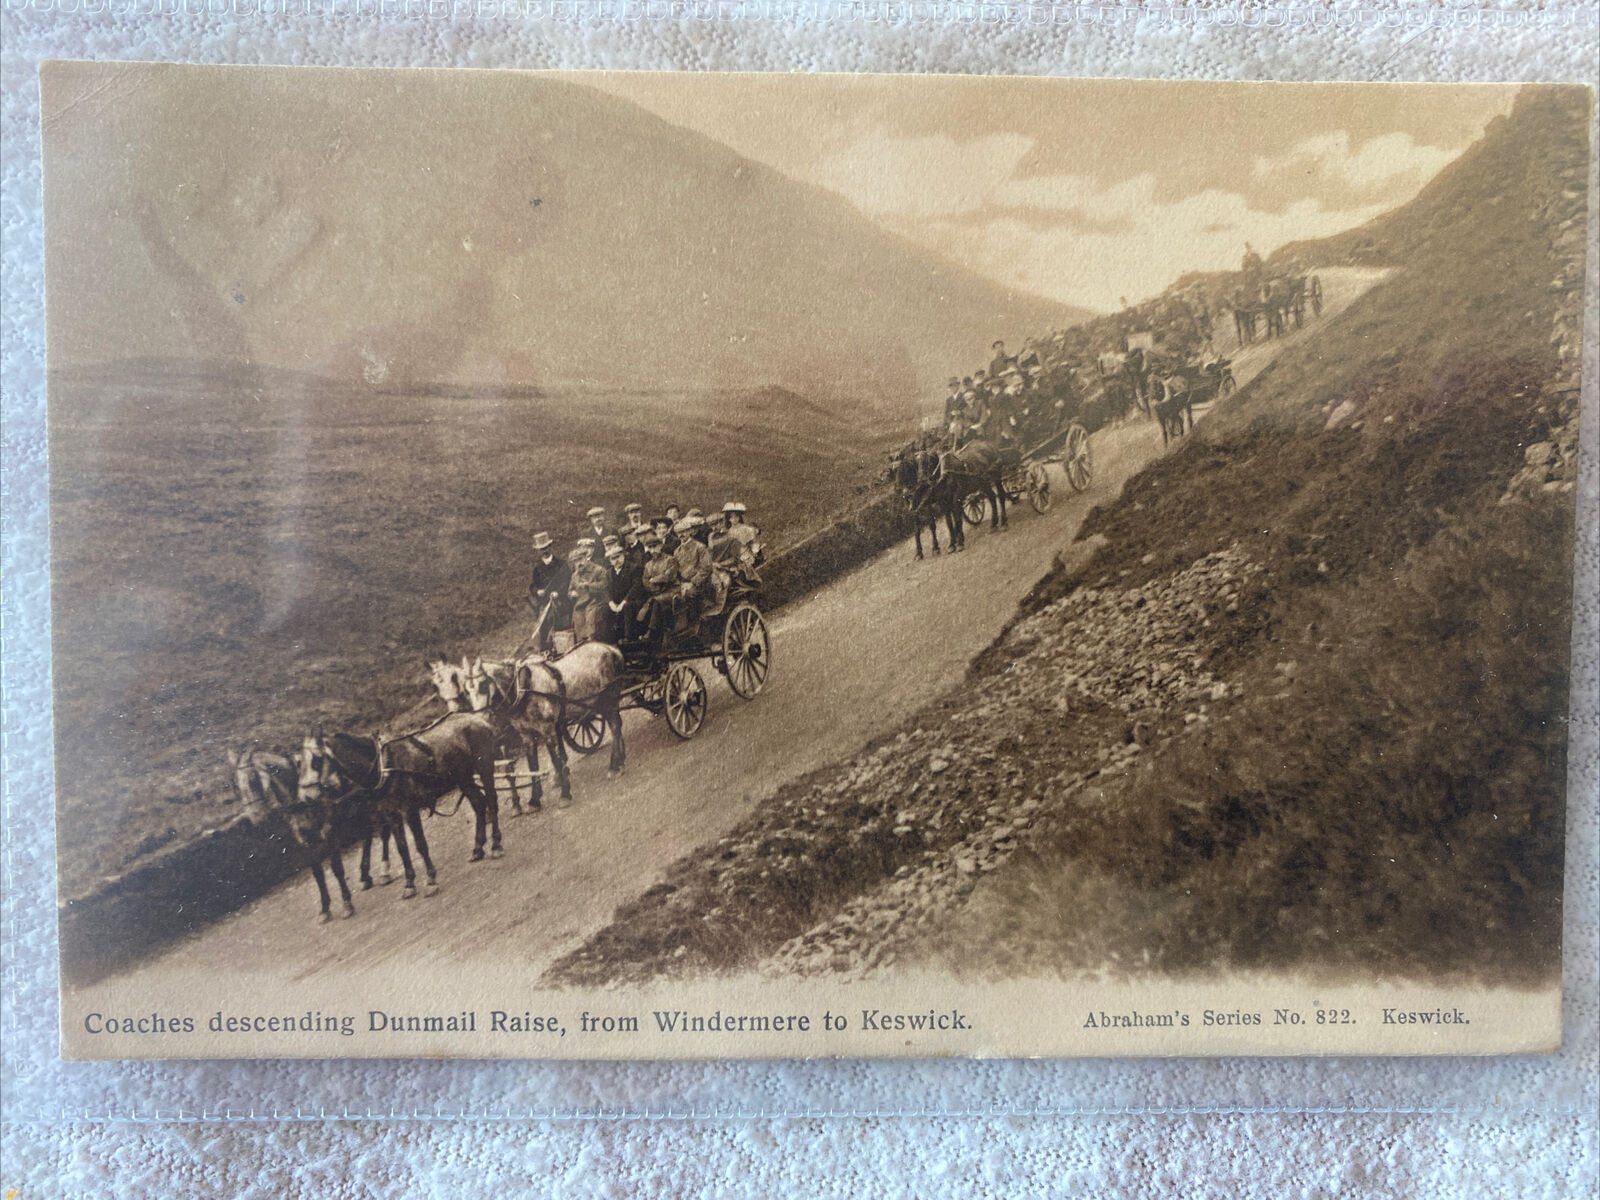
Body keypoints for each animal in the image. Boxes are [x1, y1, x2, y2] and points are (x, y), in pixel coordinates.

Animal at [228, 748, 390, 928]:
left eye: (253, 780)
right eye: (235, 786)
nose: (256, 818)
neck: (302, 798)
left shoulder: (329, 831)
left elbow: (337, 869)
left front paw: (346, 904)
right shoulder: (305, 840)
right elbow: (318, 874)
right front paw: (325, 909)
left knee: (384, 831)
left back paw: (384, 872)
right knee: (368, 836)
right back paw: (365, 877)